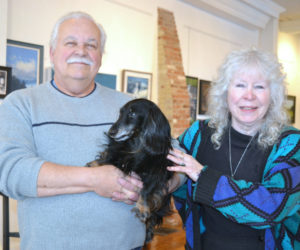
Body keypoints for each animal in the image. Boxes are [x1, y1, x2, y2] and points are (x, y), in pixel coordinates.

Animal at [87, 98, 173, 242]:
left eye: (132, 114)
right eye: (120, 113)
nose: (111, 132)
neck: (137, 143)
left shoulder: (157, 173)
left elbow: (147, 190)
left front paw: (142, 208)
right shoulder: (119, 154)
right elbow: (109, 157)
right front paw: (94, 163)